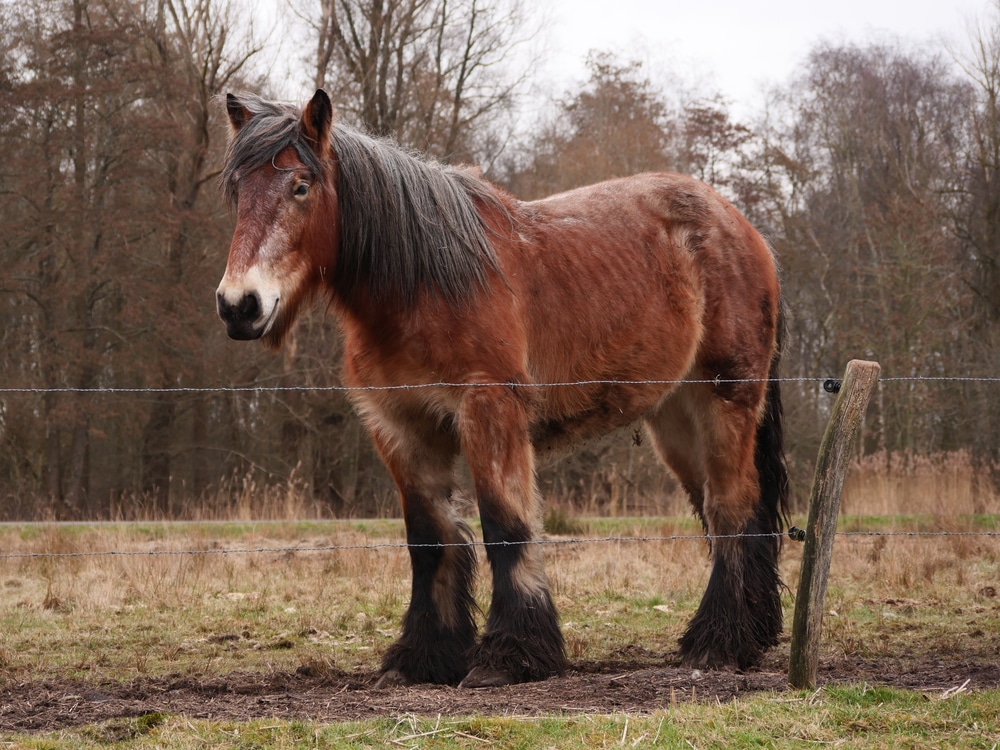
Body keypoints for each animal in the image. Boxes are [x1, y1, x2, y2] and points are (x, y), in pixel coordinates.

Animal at [219, 91, 788, 692]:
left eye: (300, 186)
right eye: (237, 190)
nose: (239, 305)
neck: (423, 284)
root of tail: (742, 228)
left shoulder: (489, 409)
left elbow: (505, 526)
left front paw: (512, 655)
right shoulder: (401, 428)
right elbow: (428, 540)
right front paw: (422, 657)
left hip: (725, 399)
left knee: (730, 507)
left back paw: (719, 644)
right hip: (675, 417)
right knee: (722, 510)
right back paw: (746, 634)